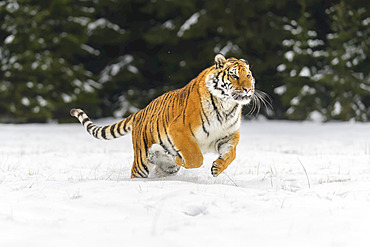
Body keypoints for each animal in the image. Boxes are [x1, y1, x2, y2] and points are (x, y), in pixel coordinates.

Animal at [70, 53, 266, 178]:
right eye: (234, 76)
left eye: (248, 75)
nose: (248, 89)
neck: (227, 107)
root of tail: (140, 111)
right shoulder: (179, 130)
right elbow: (195, 158)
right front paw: (180, 158)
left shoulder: (228, 136)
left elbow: (231, 155)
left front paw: (217, 168)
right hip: (141, 161)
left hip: (164, 166)